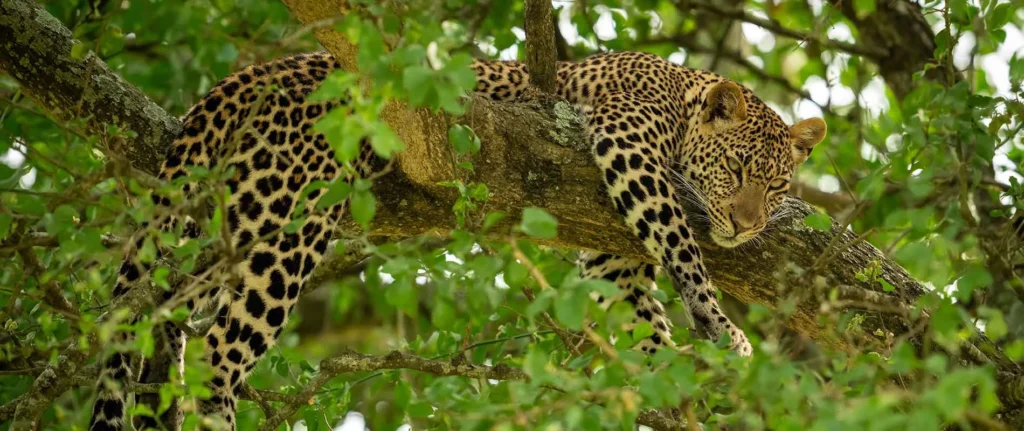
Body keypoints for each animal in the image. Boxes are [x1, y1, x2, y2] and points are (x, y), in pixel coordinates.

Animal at [88, 50, 826, 430]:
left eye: (777, 185)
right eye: (737, 170)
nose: (750, 225)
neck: (681, 93)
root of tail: (259, 71)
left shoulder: (608, 254)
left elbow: (639, 312)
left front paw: (673, 374)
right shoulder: (627, 148)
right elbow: (682, 246)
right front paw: (721, 327)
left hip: (226, 214)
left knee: (161, 321)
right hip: (287, 214)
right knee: (220, 344)